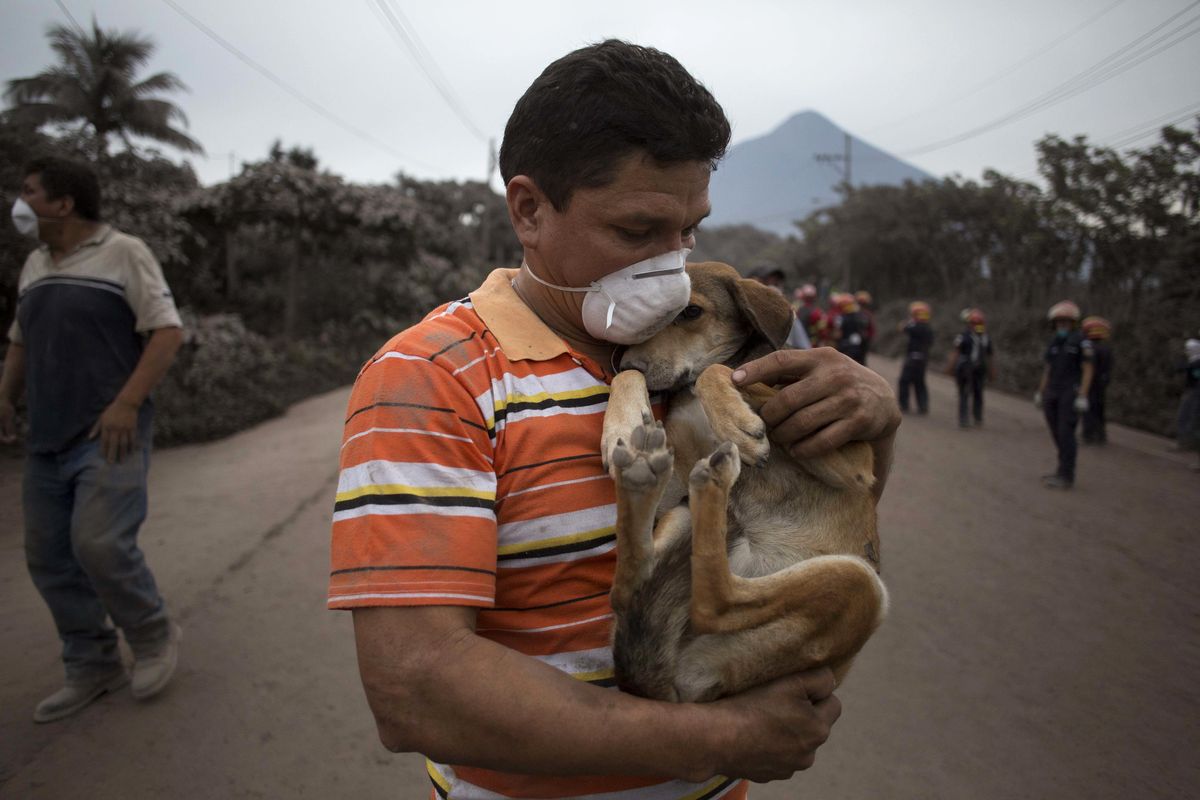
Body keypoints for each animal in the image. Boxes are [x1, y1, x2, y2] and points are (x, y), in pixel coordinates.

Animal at [604, 261, 888, 700]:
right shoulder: (680, 473)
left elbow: (722, 371)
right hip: (683, 516)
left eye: (690, 312)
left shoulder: (851, 462)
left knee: (715, 603)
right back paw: (648, 477)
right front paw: (621, 419)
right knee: (634, 588)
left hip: (861, 586)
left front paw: (736, 422)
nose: (626, 363)